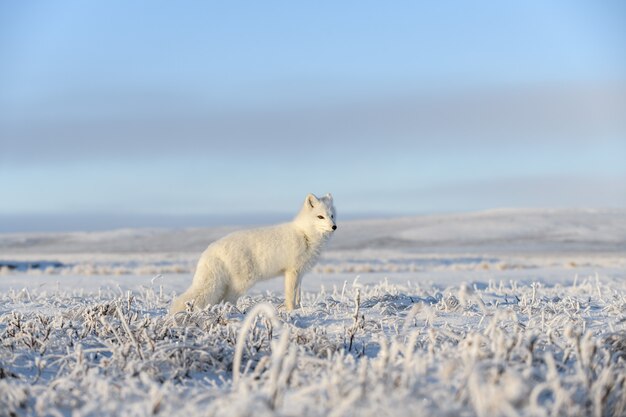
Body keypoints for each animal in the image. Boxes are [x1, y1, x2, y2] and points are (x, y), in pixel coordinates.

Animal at [168, 193, 336, 314]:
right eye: (320, 216)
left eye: (332, 215)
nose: (334, 226)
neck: (305, 234)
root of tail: (212, 248)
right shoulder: (292, 272)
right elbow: (290, 296)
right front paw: (291, 311)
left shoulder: (300, 274)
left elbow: (298, 296)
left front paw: (299, 309)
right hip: (243, 282)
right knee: (227, 300)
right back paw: (234, 313)